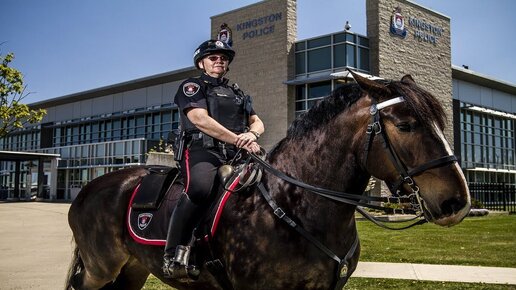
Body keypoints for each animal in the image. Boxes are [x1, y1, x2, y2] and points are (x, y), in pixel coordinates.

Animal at [65, 71, 472, 290]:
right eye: (405, 125)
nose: (457, 201)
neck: (296, 204)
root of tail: (88, 189)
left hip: (132, 269)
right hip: (99, 270)